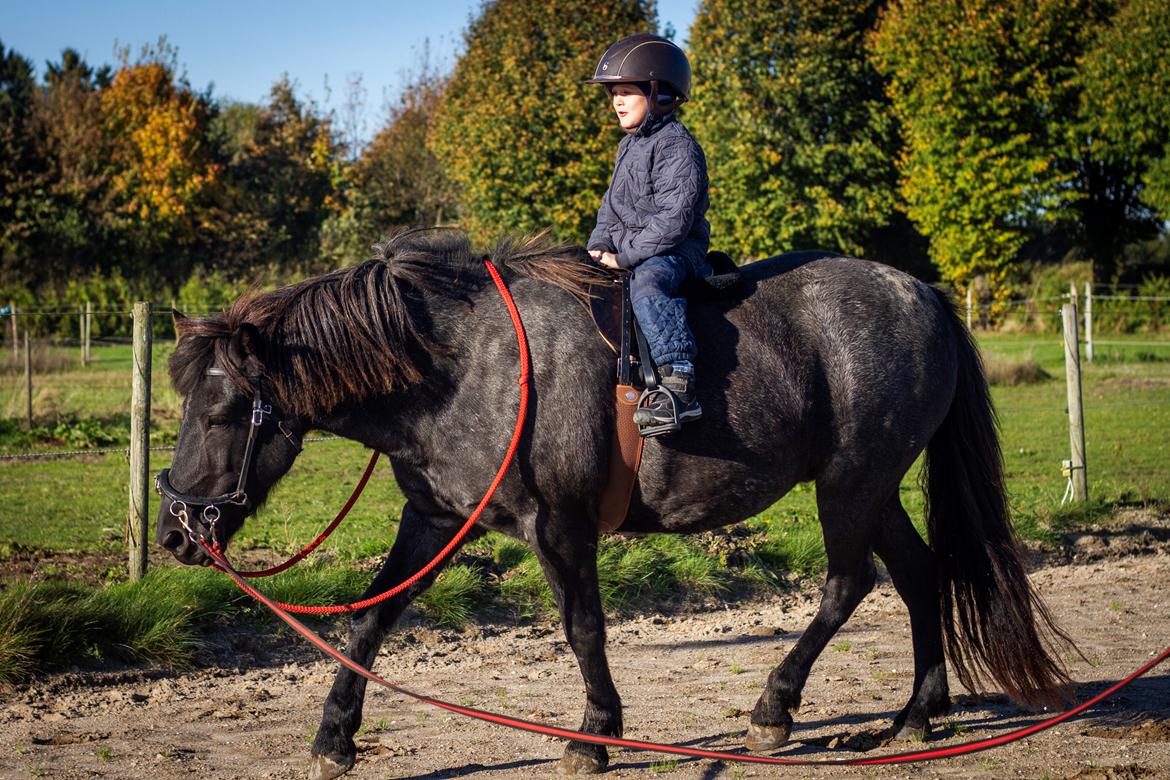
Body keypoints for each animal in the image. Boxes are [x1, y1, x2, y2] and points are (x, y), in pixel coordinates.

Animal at [155, 230, 1071, 780]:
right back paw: (917, 715)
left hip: (850, 485)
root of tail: (922, 293)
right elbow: (371, 619)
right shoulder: (436, 520)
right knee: (918, 574)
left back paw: (775, 710)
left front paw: (594, 733)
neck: (466, 366)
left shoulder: (558, 526)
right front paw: (334, 737)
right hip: (871, 489)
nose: (174, 532)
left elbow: (583, 629)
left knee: (850, 586)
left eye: (223, 410)